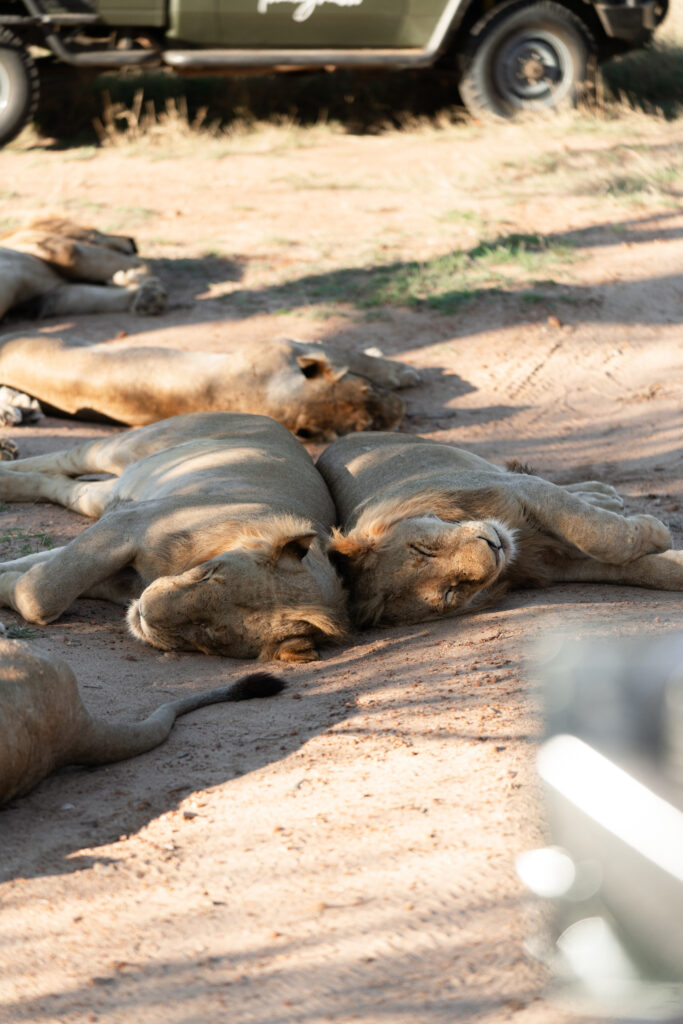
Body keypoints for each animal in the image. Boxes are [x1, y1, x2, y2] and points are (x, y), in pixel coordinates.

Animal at [0, 329, 419, 438]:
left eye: (367, 396)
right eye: (367, 423)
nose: (401, 413)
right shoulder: (288, 343)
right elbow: (355, 354)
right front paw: (404, 370)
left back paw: (23, 408)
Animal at [0, 413, 348, 663]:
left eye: (208, 632)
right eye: (209, 574)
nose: (143, 612)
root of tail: (274, 422)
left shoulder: (121, 561)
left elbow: (40, 580)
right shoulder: (129, 522)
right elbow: (45, 591)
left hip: (106, 495)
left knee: (60, 485)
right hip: (124, 446)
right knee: (60, 459)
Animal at [317, 430, 683, 622]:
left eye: (423, 549)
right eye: (451, 591)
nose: (493, 547)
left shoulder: (517, 488)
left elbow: (598, 532)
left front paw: (656, 529)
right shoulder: (550, 564)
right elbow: (644, 569)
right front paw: (664, 548)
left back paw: (603, 493)